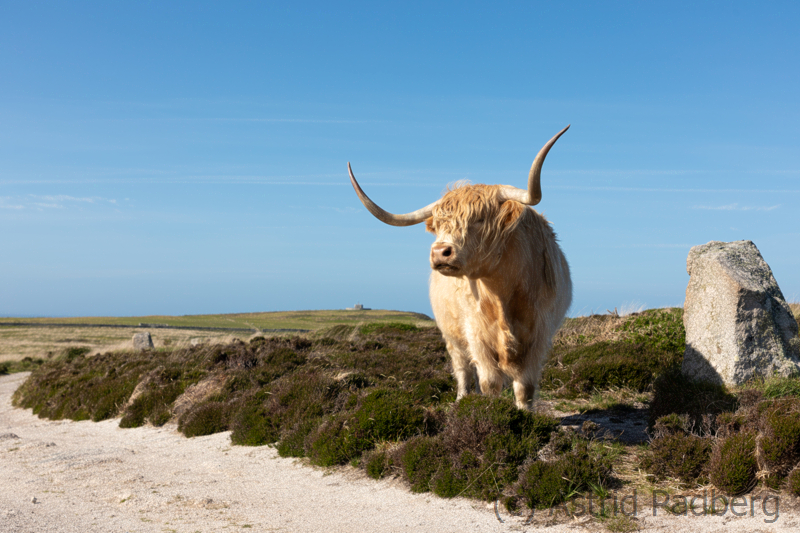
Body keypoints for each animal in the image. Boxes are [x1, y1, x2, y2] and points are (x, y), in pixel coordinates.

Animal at [346, 127, 572, 410]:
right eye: (438, 225)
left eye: (479, 219)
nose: (439, 252)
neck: (503, 296)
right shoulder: (476, 333)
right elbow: (489, 383)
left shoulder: (539, 334)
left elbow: (525, 388)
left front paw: (525, 415)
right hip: (453, 338)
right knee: (464, 370)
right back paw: (462, 399)